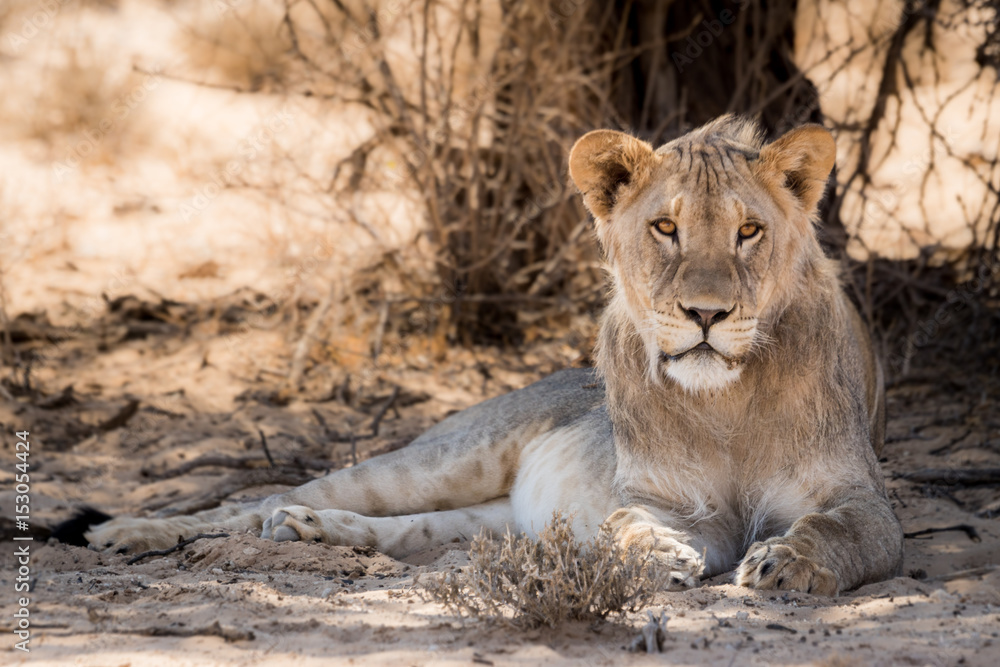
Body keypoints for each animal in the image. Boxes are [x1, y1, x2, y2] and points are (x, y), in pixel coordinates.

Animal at [80, 116, 903, 596]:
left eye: (748, 231)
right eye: (666, 228)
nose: (707, 313)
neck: (727, 402)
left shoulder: (861, 495)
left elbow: (842, 530)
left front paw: (787, 563)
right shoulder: (668, 502)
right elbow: (630, 524)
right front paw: (653, 556)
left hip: (491, 518)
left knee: (404, 532)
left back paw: (314, 532)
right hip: (442, 458)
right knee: (253, 502)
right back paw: (129, 532)